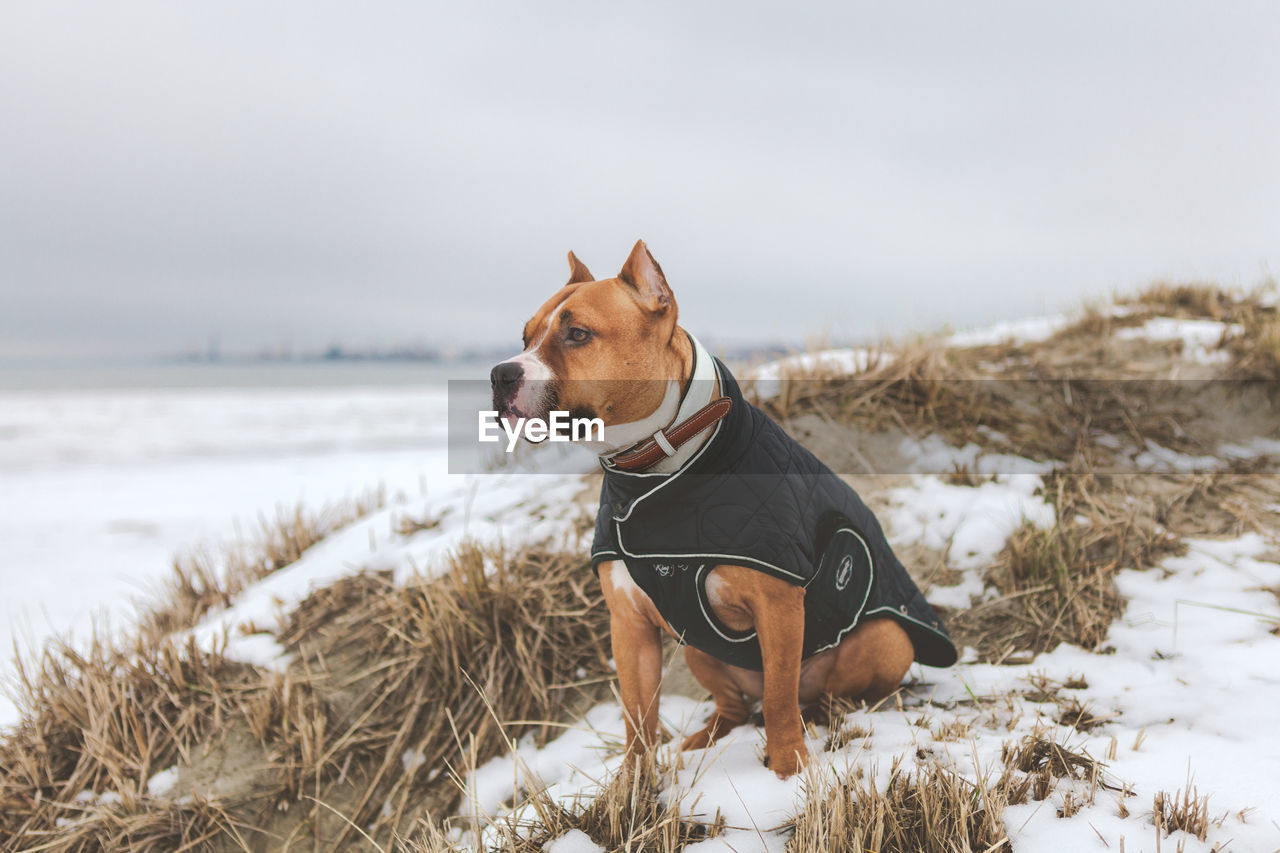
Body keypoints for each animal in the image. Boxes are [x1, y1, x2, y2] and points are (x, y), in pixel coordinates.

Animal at [494, 239, 957, 778]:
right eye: (526, 337)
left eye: (577, 334)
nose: (500, 373)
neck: (656, 469)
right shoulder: (629, 626)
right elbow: (637, 717)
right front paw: (631, 785)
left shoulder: (778, 608)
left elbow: (778, 698)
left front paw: (789, 769)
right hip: (696, 644)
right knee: (735, 706)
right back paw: (705, 737)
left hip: (887, 639)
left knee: (808, 696)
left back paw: (821, 716)